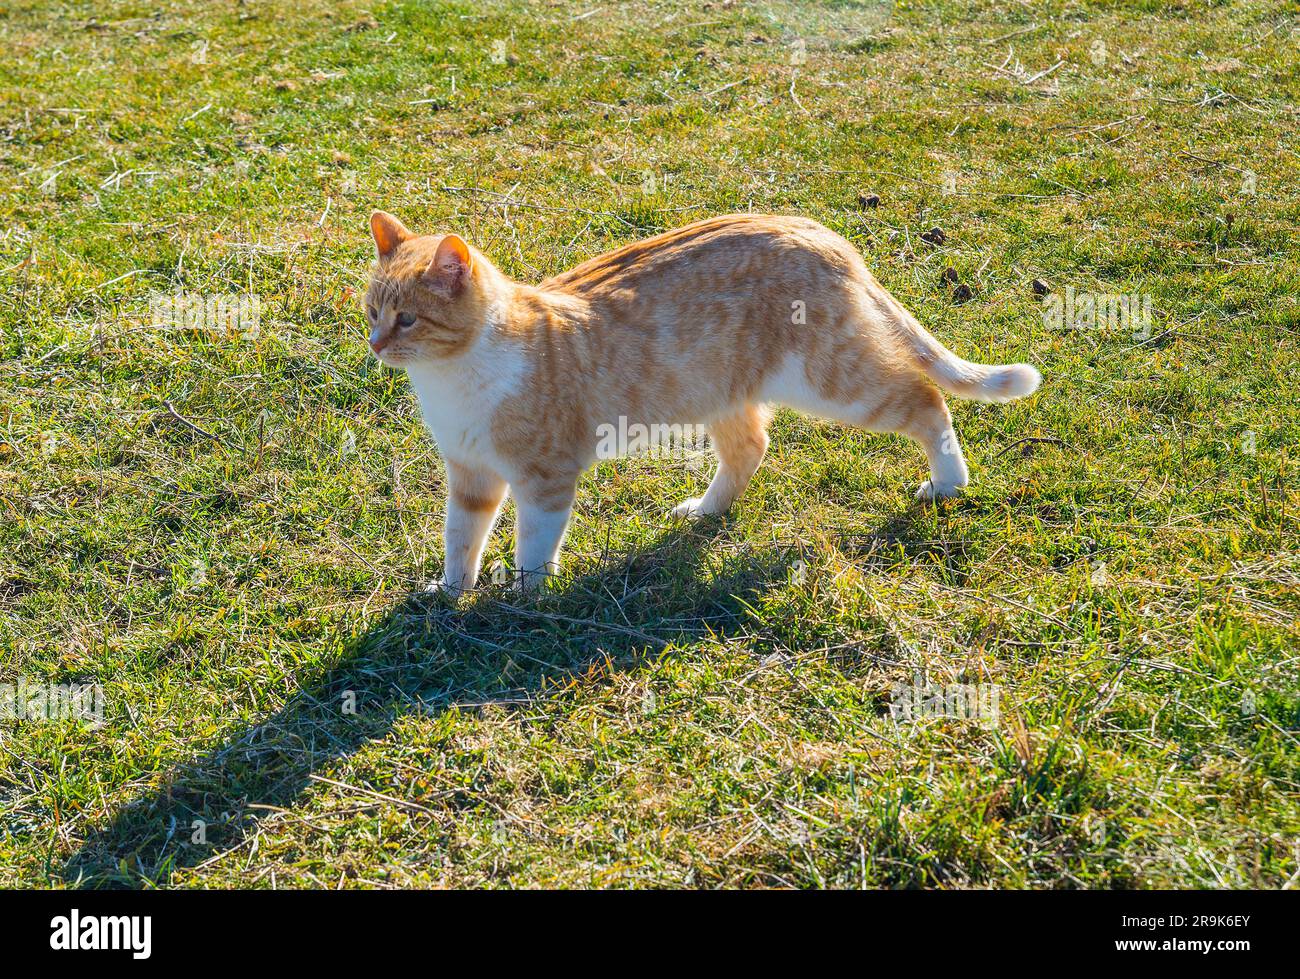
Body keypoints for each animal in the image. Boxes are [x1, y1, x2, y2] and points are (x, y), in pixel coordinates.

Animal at [364, 210, 1034, 592]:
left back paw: (948, 482)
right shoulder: (471, 474)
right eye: (371, 312)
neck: (452, 377)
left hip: (835, 383)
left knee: (926, 400)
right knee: (751, 447)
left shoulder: (545, 477)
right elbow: (461, 537)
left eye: (408, 320)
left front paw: (525, 597)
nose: (374, 346)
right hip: (724, 392)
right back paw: (708, 511)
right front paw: (454, 591)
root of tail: (820, 232)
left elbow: (534, 545)